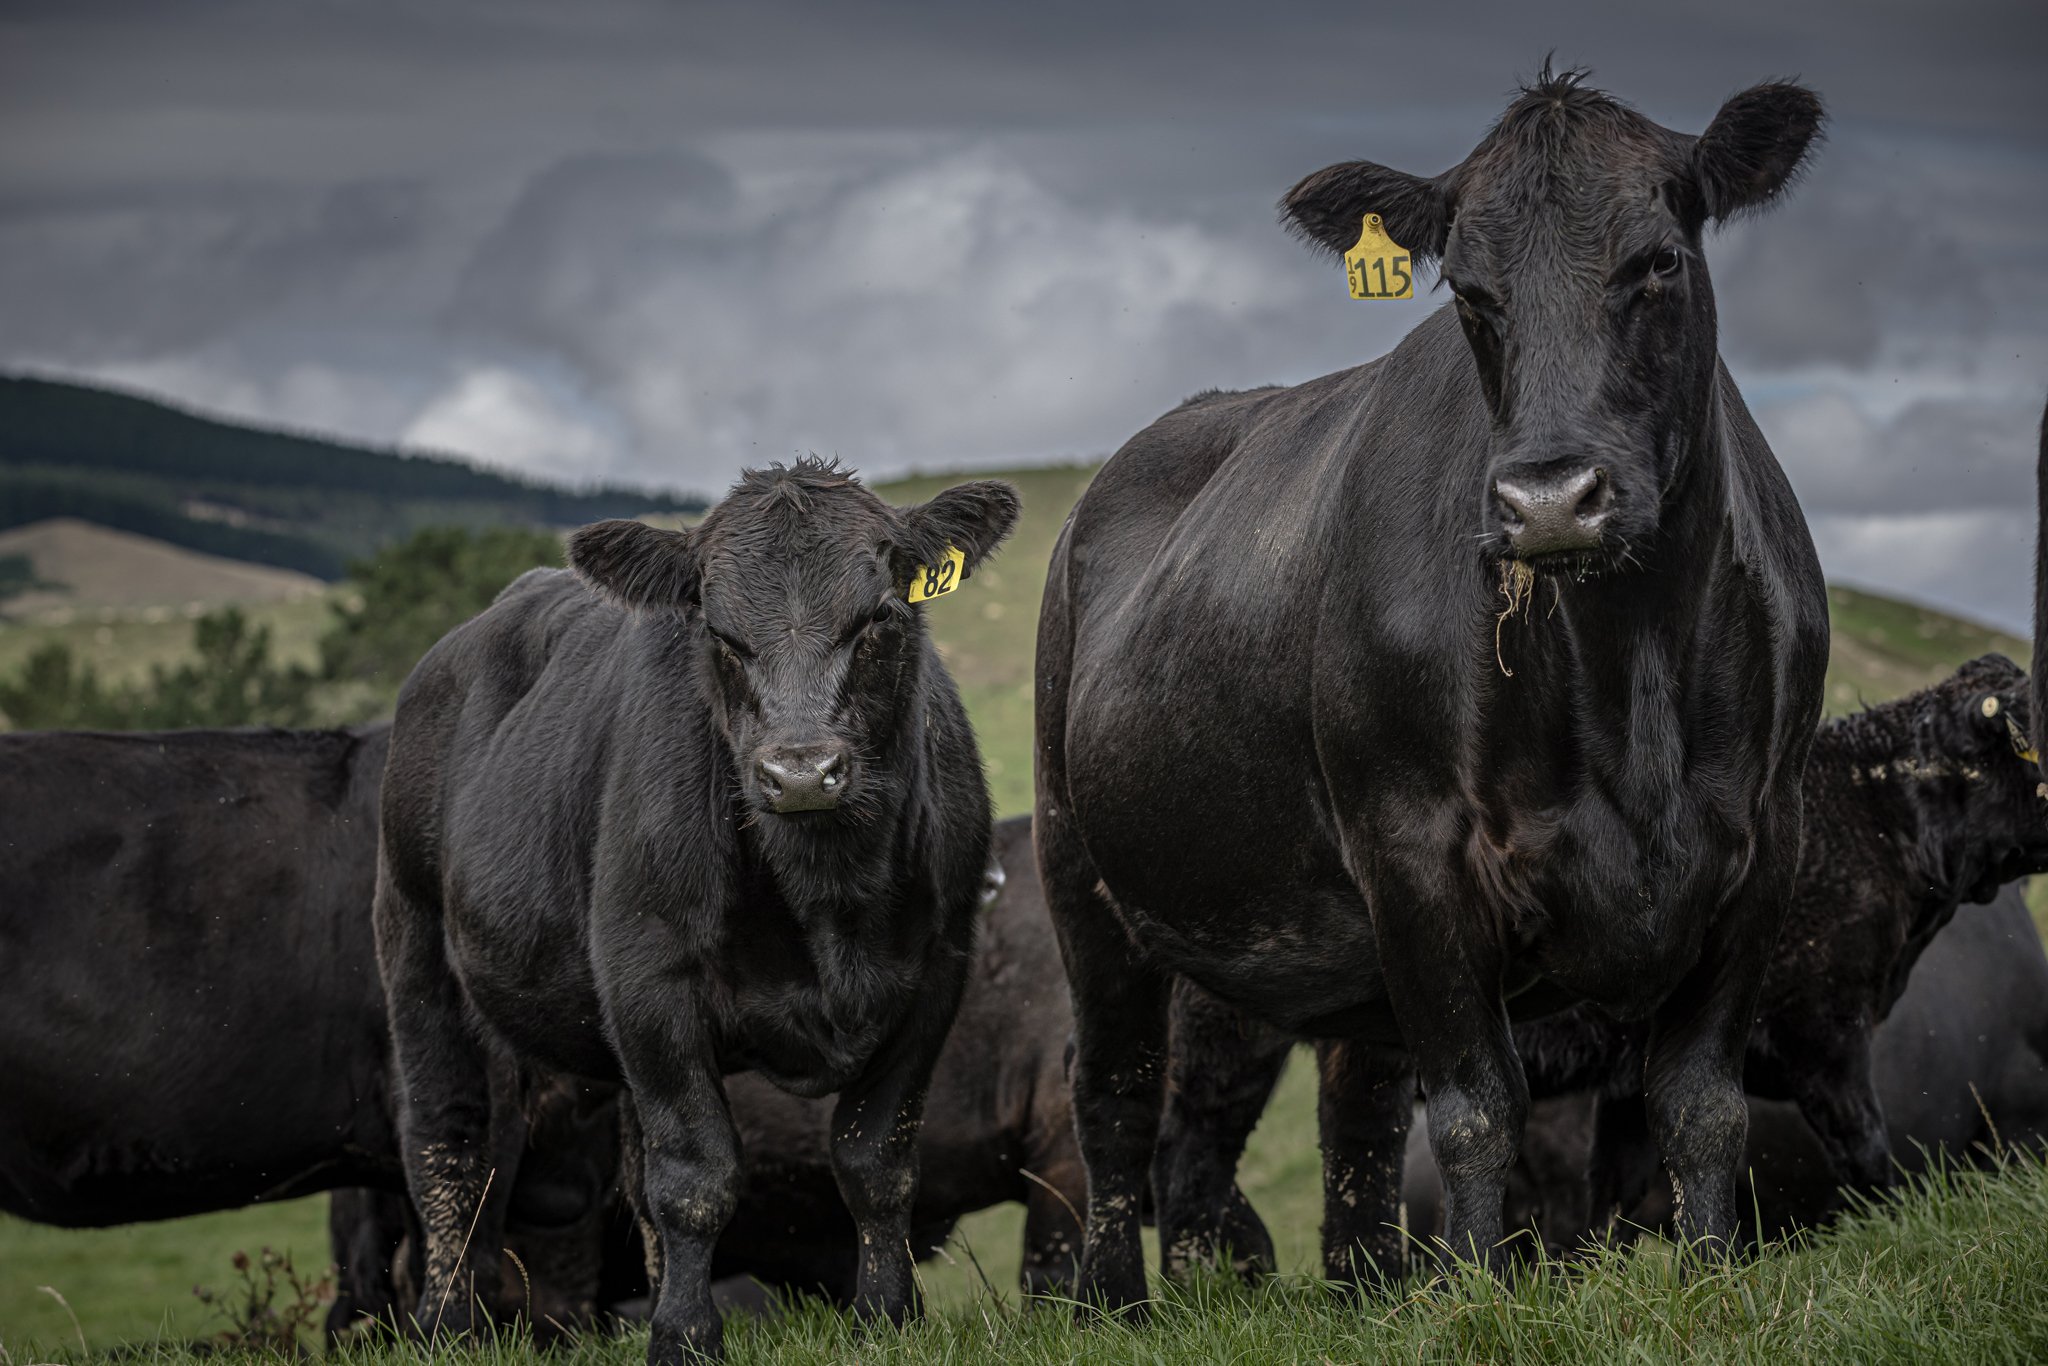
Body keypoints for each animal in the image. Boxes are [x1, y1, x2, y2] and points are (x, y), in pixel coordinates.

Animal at [373, 459, 1018, 1363]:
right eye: (718, 632)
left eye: (881, 615)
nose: (799, 770)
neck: (827, 894)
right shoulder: (651, 982)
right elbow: (697, 1176)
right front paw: (684, 1336)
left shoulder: (934, 974)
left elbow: (876, 1161)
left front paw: (887, 1315)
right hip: (418, 951)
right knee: (451, 1145)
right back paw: (448, 1328)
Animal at [1034, 65, 1830, 1305]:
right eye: (1466, 290)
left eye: (1657, 261)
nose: (1549, 498)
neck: (1626, 666)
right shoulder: (1413, 853)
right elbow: (1473, 1114)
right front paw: (1482, 1299)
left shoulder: (1762, 841)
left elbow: (1701, 1107)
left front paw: (1707, 1280)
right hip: (1081, 867)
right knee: (1114, 1091)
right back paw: (1116, 1304)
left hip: (1261, 909)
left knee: (1280, 1110)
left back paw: (1340, 1291)